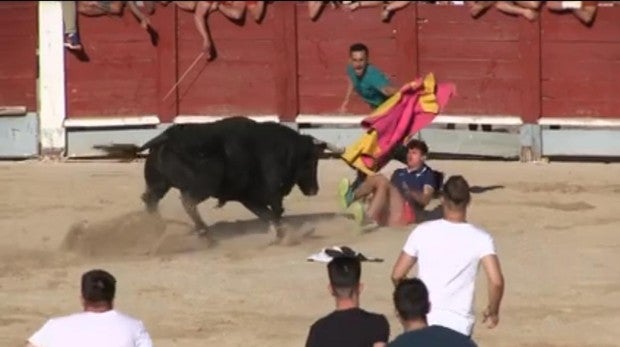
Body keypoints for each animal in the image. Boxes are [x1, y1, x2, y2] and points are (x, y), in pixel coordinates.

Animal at [95, 117, 344, 245]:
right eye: (311, 163)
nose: (314, 189)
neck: (285, 150)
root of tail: (167, 135)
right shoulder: (271, 192)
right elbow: (275, 211)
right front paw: (287, 234)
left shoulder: (248, 196)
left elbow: (266, 213)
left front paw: (281, 233)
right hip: (203, 185)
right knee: (188, 202)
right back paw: (204, 233)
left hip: (159, 184)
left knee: (150, 200)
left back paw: (157, 229)